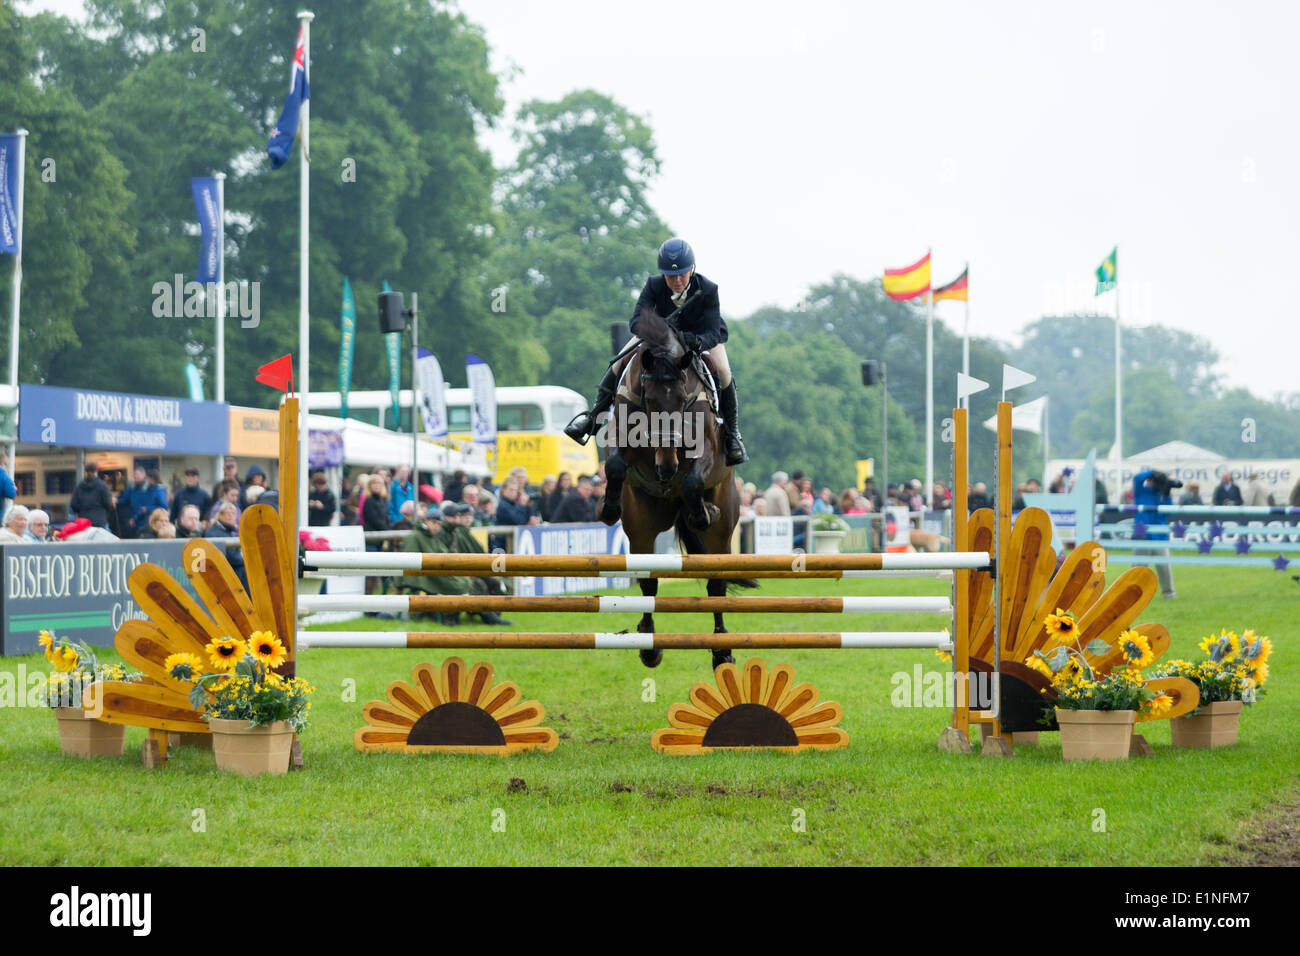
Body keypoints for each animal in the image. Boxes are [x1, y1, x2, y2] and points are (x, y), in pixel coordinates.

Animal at [595, 310, 754, 671]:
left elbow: (694, 481)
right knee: (648, 579)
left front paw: (703, 512)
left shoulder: (705, 448)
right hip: (642, 525)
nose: (666, 468)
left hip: (722, 530)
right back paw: (648, 644)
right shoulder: (620, 433)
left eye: (682, 400)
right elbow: (615, 466)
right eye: (651, 400)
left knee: (715, 582)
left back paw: (722, 651)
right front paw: (608, 508)